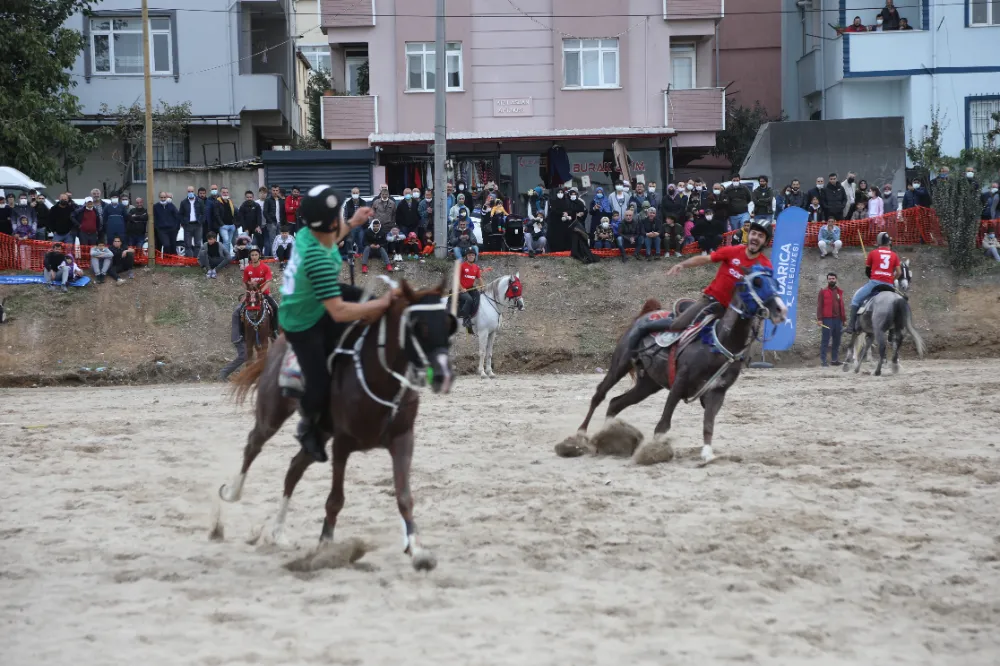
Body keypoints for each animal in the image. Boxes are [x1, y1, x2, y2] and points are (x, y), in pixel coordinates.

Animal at [219, 274, 458, 572]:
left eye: (448, 323)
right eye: (418, 326)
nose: (444, 375)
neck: (379, 377)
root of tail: (277, 346)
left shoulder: (403, 439)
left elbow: (404, 497)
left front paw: (417, 550)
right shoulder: (342, 445)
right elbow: (335, 500)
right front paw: (325, 546)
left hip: (320, 435)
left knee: (294, 468)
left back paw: (279, 532)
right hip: (272, 416)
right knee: (253, 445)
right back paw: (232, 494)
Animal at [580, 268, 788, 464]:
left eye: (776, 283)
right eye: (757, 283)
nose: (781, 310)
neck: (719, 342)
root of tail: (646, 313)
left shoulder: (717, 392)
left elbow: (708, 424)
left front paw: (707, 455)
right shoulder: (679, 383)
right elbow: (664, 424)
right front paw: (654, 451)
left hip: (648, 384)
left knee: (616, 403)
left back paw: (609, 436)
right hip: (620, 365)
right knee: (599, 395)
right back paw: (580, 436)